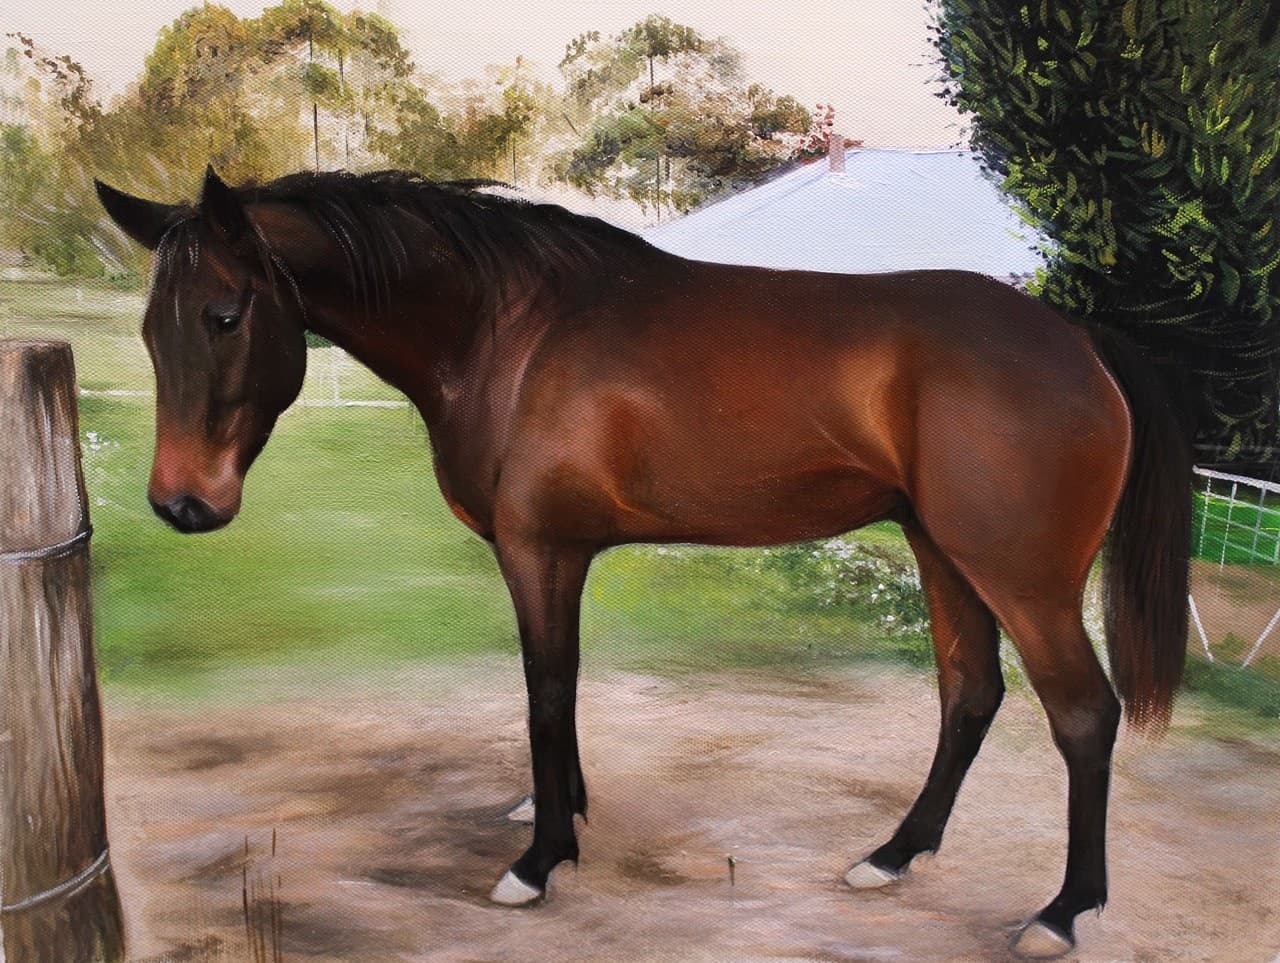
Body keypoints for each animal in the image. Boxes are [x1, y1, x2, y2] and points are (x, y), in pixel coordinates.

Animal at [95, 165, 1191, 959]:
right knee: (969, 695)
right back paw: (892, 855)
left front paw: (539, 860)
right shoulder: (564, 553)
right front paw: (563, 808)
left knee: (1081, 715)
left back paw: (1061, 912)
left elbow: (543, 688)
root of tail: (1079, 342)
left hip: (1020, 575)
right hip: (942, 553)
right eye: (148, 325)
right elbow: (565, 684)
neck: (510, 331)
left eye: (225, 315)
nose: (183, 503)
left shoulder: (538, 549)